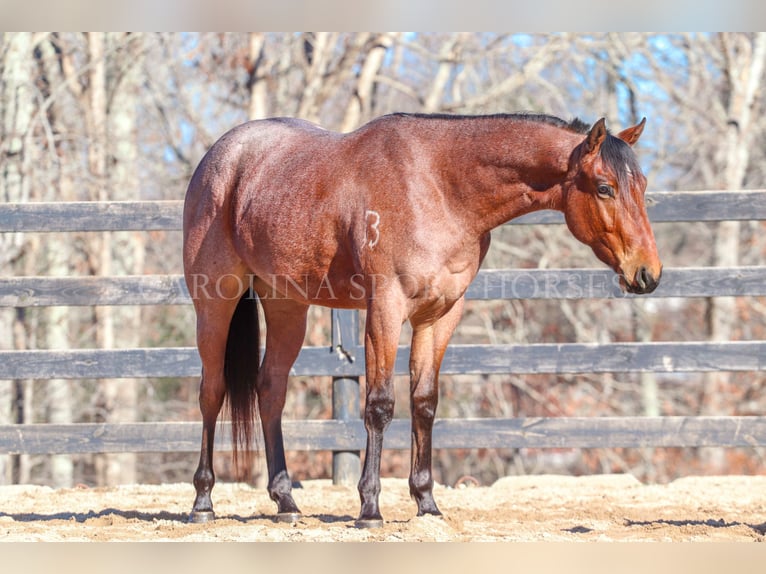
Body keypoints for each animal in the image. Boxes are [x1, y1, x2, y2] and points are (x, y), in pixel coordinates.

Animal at [183, 110, 664, 528]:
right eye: (604, 187)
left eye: (641, 186)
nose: (648, 274)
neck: (440, 188)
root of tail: (219, 157)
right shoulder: (385, 309)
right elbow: (379, 405)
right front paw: (370, 509)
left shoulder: (441, 314)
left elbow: (425, 403)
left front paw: (427, 503)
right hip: (216, 303)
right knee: (212, 392)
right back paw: (203, 502)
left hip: (287, 305)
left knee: (270, 390)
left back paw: (285, 500)